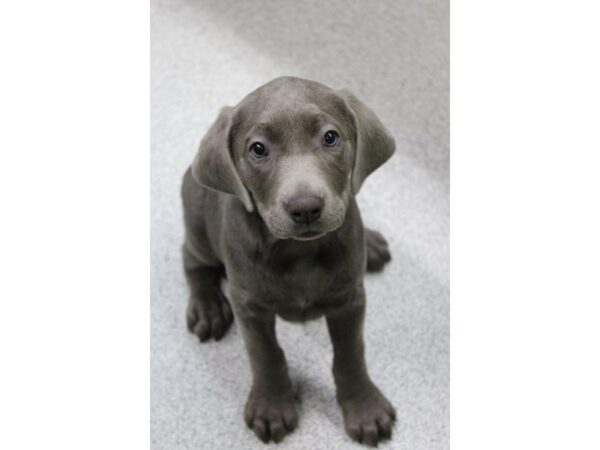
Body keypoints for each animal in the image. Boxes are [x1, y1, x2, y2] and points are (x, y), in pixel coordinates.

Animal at [183, 75, 398, 444]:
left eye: (330, 137)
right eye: (258, 148)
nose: (306, 207)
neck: (299, 252)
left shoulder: (350, 298)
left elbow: (351, 354)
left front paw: (365, 407)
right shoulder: (249, 305)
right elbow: (265, 354)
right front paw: (271, 407)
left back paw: (370, 243)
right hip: (198, 225)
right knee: (192, 260)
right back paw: (207, 308)